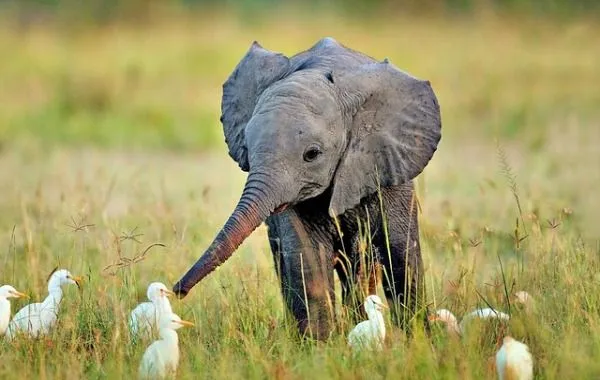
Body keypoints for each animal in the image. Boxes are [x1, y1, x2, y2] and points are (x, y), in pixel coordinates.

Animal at [173, 36, 440, 338]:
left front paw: (418, 339)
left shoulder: (388, 165)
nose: (177, 291)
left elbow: (401, 255)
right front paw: (319, 346)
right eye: (247, 151)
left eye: (312, 154)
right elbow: (307, 258)